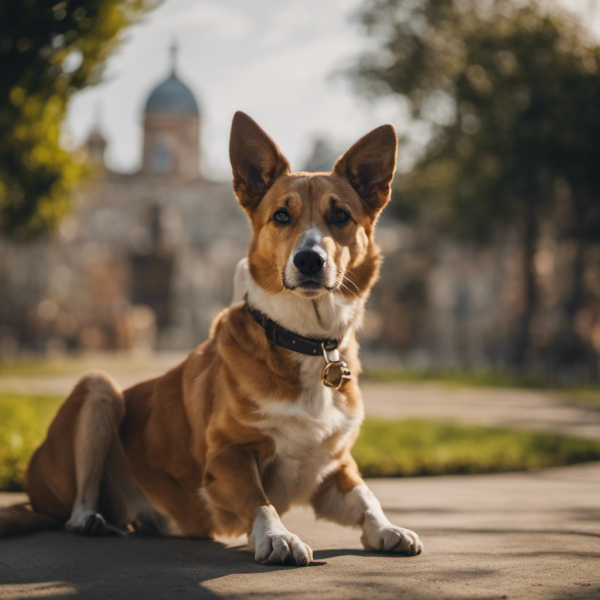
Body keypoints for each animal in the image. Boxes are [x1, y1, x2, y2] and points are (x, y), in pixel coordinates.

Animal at [1, 111, 422, 564]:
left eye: (340, 216)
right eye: (281, 216)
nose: (309, 260)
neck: (308, 340)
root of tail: (34, 496)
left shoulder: (332, 467)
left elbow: (367, 498)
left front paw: (388, 528)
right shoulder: (225, 456)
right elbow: (259, 499)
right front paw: (278, 536)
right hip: (99, 388)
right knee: (76, 505)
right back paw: (90, 521)